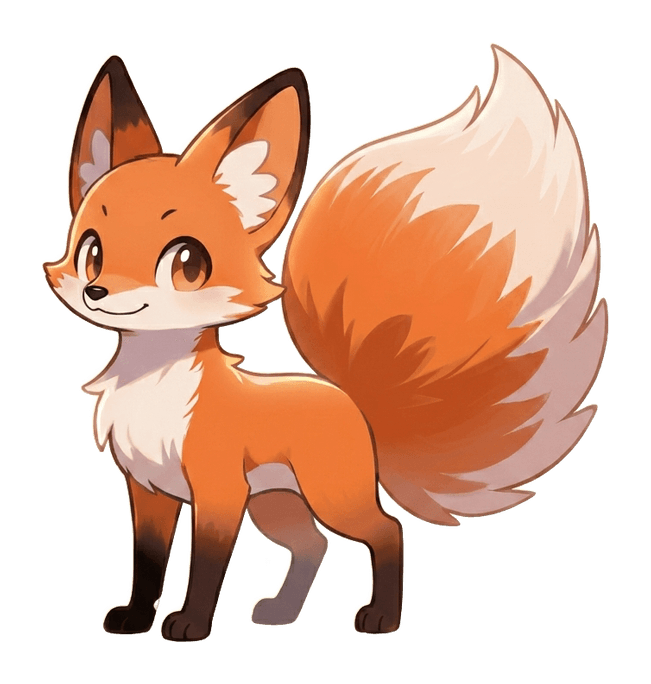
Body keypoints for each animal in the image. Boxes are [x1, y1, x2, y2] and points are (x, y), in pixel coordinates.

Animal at [43, 44, 607, 642]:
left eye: (187, 263)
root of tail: (350, 399)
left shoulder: (219, 494)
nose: (99, 292)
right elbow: (148, 562)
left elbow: (206, 568)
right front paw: (134, 617)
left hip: (328, 497)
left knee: (386, 531)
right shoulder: (148, 491)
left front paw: (191, 624)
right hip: (279, 506)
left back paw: (381, 617)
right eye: (91, 251)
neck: (155, 388)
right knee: (314, 546)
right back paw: (283, 612)